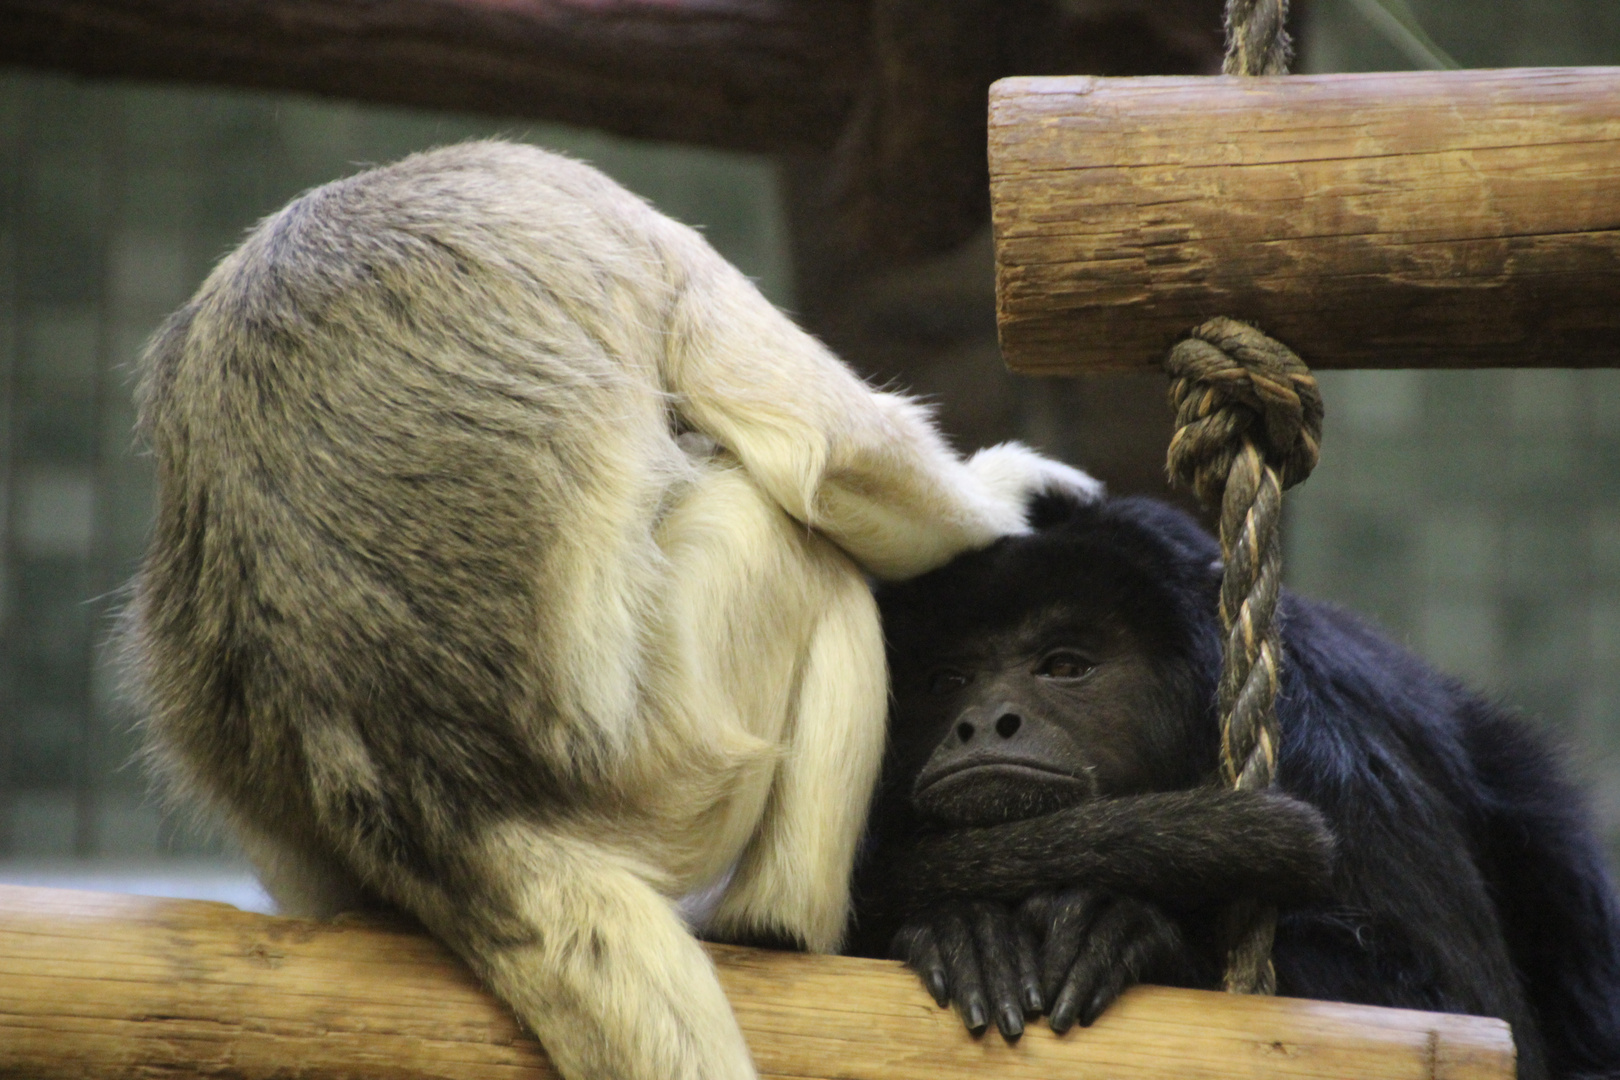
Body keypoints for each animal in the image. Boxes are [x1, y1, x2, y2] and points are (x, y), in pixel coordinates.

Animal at [848, 495, 1620, 1080]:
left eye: (1064, 665)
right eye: (948, 681)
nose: (984, 721)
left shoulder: (1335, 741)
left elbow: (1459, 1009)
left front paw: (1131, 929)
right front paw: (964, 928)